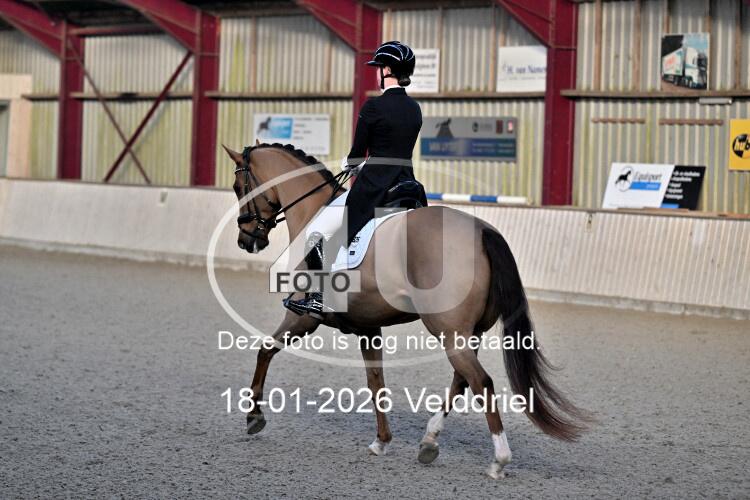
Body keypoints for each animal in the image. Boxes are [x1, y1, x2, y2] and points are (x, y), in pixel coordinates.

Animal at [222, 143, 589, 478]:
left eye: (239, 187)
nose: (246, 241)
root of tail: (483, 231)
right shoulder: (368, 328)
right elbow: (376, 381)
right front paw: (381, 441)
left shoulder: (303, 316)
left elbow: (265, 350)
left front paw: (254, 417)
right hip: (467, 333)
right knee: (462, 380)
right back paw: (429, 441)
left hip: (448, 331)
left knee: (480, 382)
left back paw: (498, 460)